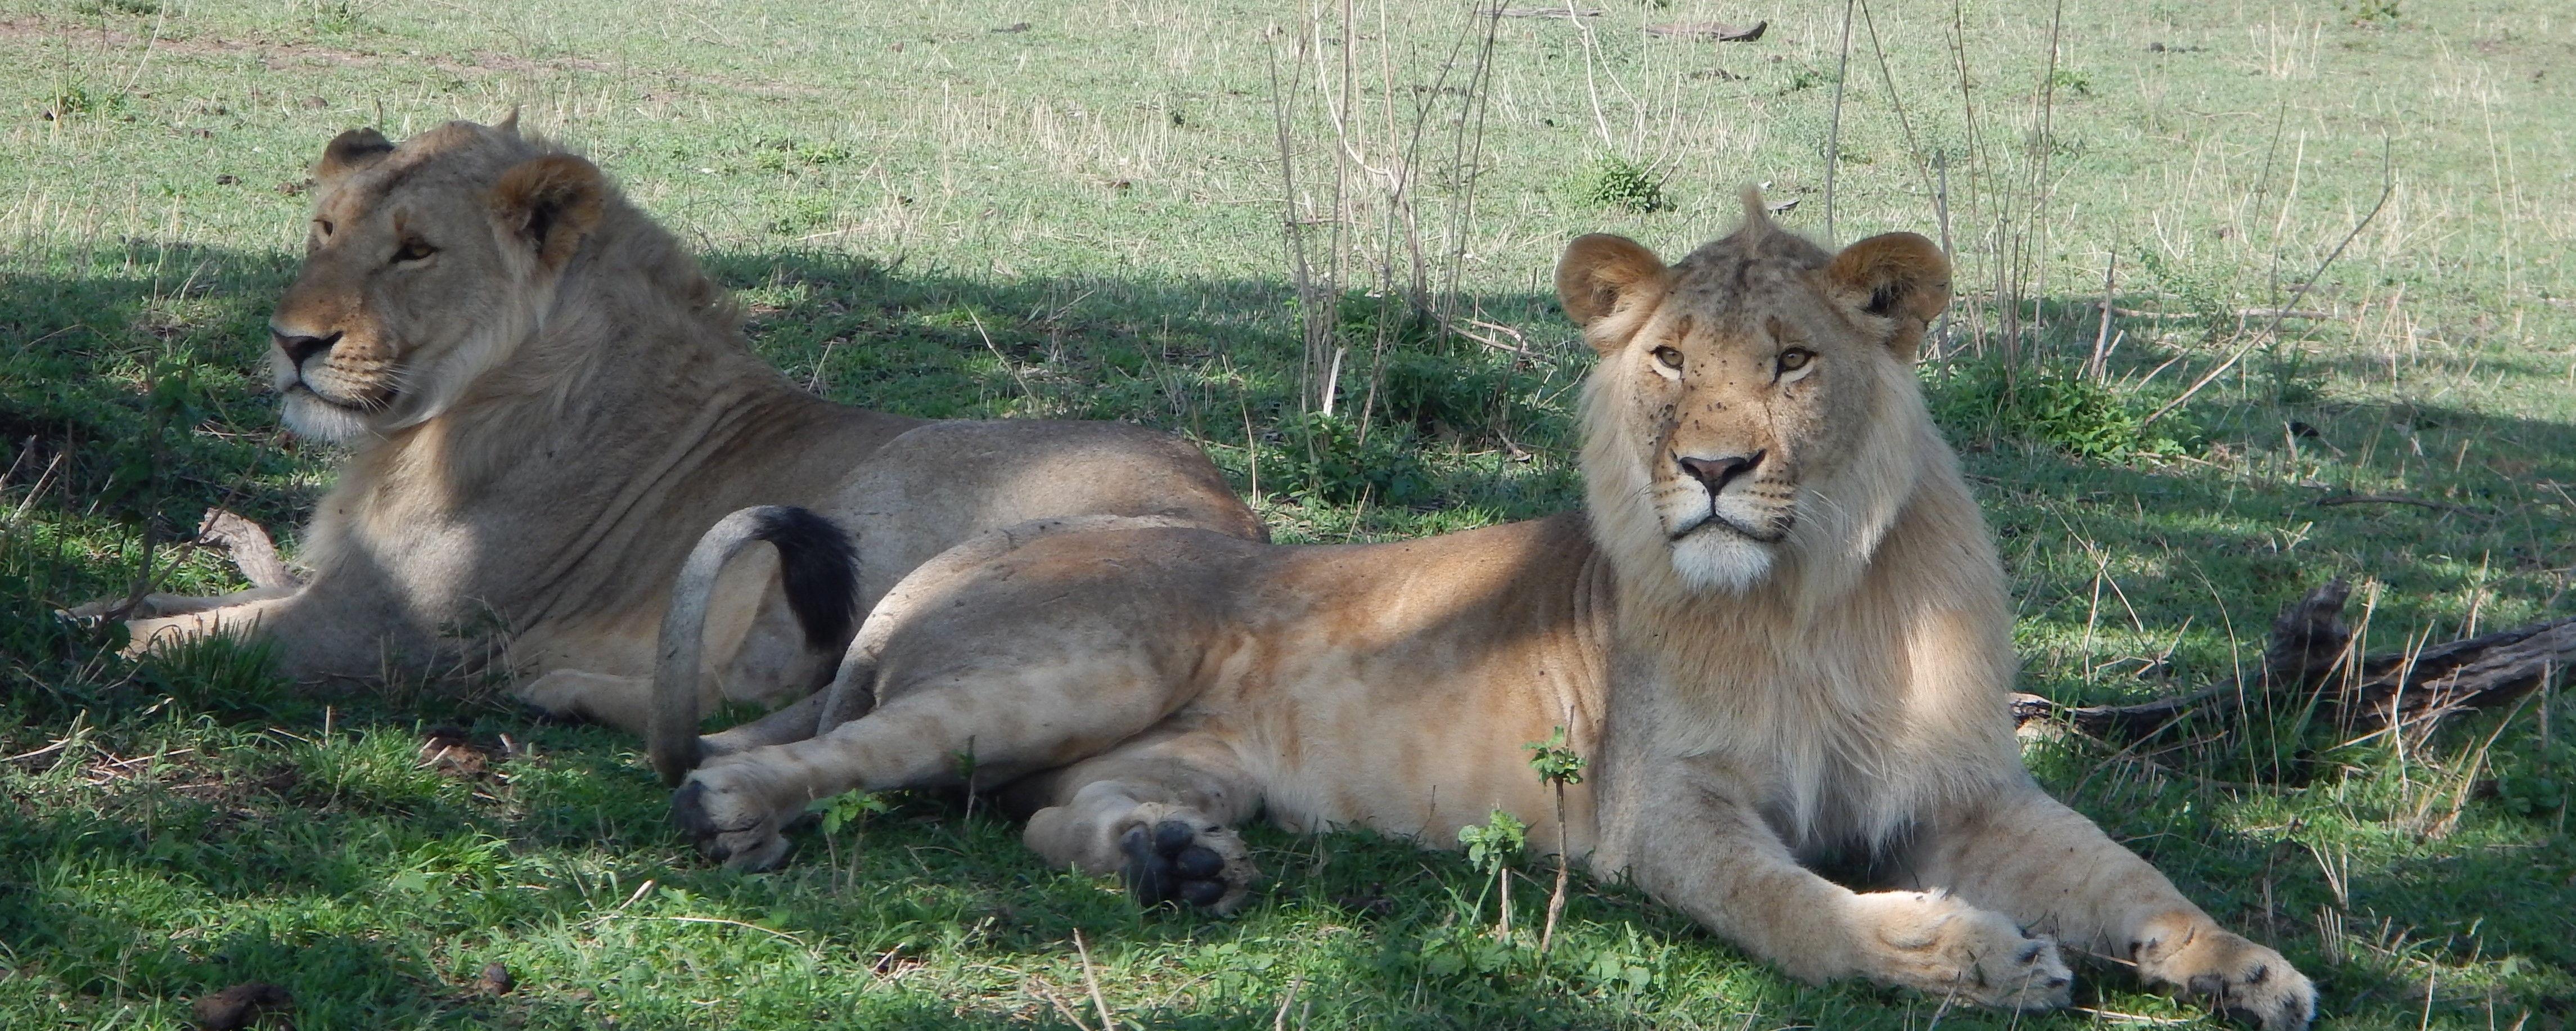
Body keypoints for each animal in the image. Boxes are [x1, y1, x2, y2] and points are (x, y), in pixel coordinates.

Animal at [106, 117, 1264, 734]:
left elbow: (162, 640)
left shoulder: (378, 633)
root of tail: (1238, 528)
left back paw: (555, 682)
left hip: (890, 484)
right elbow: (171, 602)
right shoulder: (340, 589)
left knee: (753, 686)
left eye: (416, 250)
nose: (292, 341)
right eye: (325, 228)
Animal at [663, 195, 2314, 1028]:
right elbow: (1790, 909)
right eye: (1667, 358)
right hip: (1088, 659)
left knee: (1045, 810)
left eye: (1791, 360)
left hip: (1172, 747)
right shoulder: (1666, 807)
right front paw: (1968, 959)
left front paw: (2246, 967)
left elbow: (2124, 871)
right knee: (798, 754)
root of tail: (942, 567)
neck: (1810, 594)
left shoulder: (1961, 784)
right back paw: (738, 812)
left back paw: (1173, 864)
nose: (1713, 469)